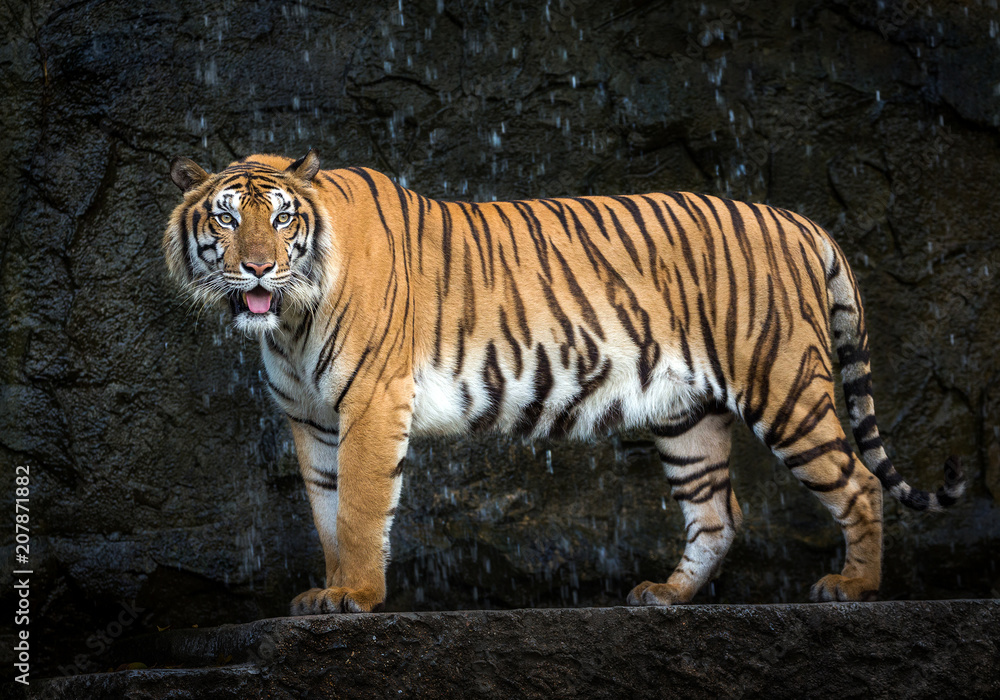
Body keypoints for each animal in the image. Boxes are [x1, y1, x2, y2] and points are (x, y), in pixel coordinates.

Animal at [164, 150, 964, 614]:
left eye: (282, 220)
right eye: (226, 221)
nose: (259, 268)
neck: (289, 321)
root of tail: (801, 221)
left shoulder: (368, 404)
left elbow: (359, 511)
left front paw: (355, 596)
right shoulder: (312, 419)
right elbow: (325, 513)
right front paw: (328, 590)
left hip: (783, 382)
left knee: (857, 482)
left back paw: (853, 588)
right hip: (686, 414)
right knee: (717, 512)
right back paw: (666, 596)